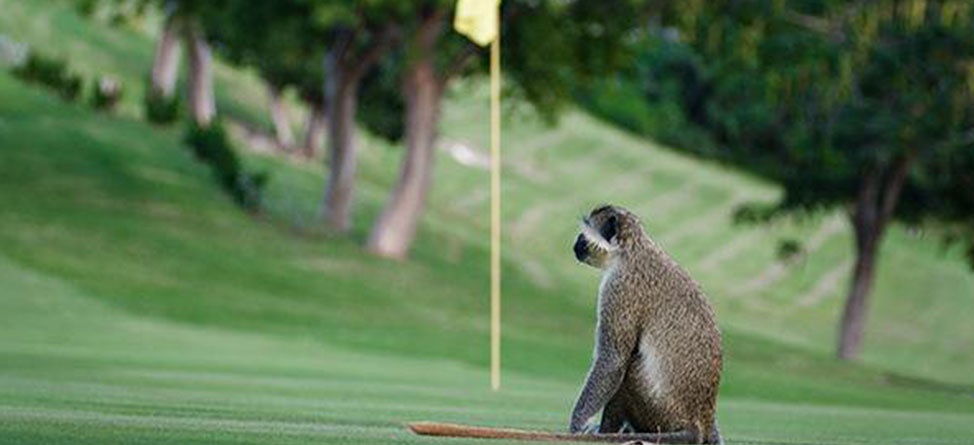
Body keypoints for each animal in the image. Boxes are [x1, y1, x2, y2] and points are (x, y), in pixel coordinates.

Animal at [568, 205, 720, 444]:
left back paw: (607, 433)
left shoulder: (619, 288)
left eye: (584, 231)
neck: (632, 250)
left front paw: (577, 425)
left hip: (659, 411)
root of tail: (698, 423)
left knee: (629, 366)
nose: (576, 243)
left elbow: (613, 361)